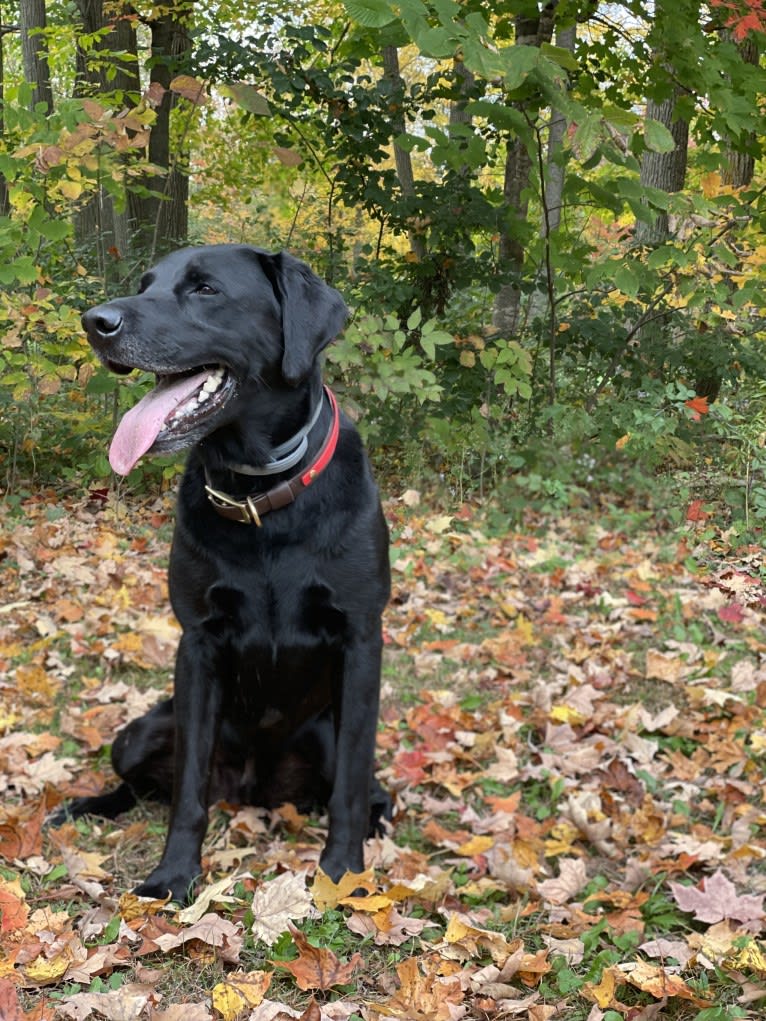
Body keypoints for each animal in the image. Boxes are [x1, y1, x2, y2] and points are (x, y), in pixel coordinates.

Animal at [60, 245, 392, 902]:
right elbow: (187, 788)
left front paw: (343, 873)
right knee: (143, 785)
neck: (259, 497)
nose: (94, 322)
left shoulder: (362, 639)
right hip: (138, 733)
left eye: (206, 290)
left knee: (364, 788)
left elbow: (349, 783)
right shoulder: (199, 645)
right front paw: (172, 875)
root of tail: (251, 790)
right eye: (146, 284)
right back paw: (83, 807)